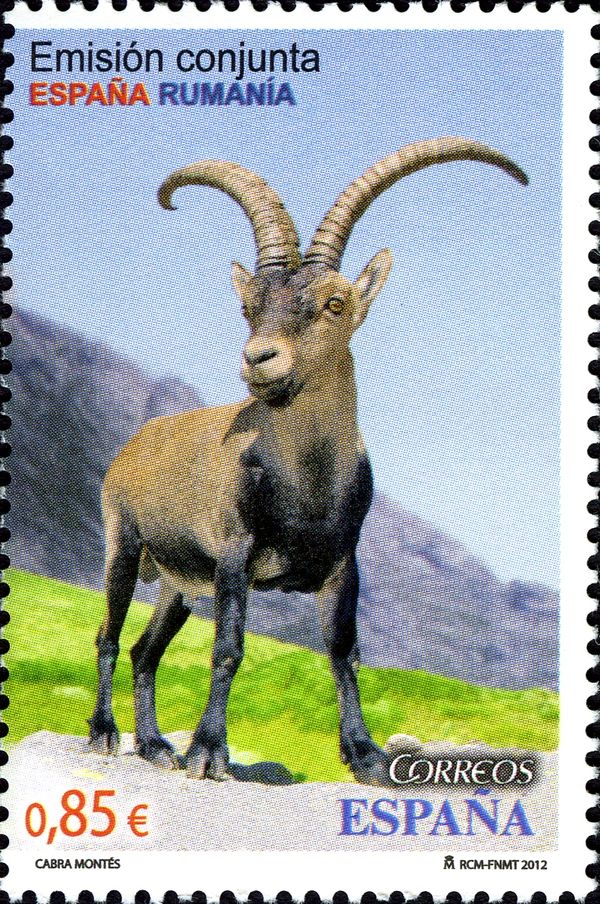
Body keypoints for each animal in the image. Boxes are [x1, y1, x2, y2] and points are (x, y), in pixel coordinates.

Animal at [88, 138, 527, 785]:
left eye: (334, 302)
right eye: (251, 305)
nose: (260, 358)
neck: (306, 485)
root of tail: (136, 443)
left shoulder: (342, 563)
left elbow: (344, 648)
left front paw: (365, 754)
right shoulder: (235, 556)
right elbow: (229, 647)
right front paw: (209, 750)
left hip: (177, 581)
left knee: (147, 650)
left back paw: (154, 745)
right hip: (125, 544)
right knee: (109, 635)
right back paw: (105, 733)